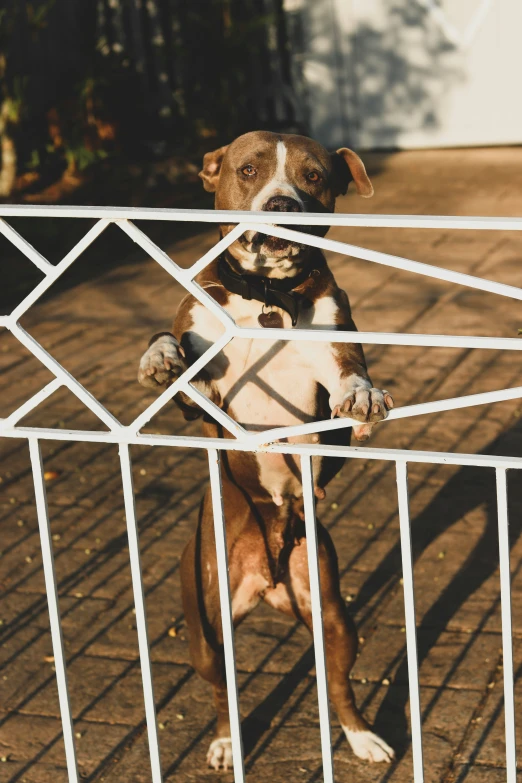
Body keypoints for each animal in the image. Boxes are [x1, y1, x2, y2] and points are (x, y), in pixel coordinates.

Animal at [138, 132, 394, 768]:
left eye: (314, 175)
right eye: (249, 170)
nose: (282, 205)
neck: (267, 295)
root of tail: (269, 574)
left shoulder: (334, 358)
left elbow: (348, 380)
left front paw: (364, 396)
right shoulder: (202, 401)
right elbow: (170, 347)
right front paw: (158, 357)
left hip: (331, 611)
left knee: (338, 680)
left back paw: (362, 736)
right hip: (205, 625)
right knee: (220, 687)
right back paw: (227, 742)